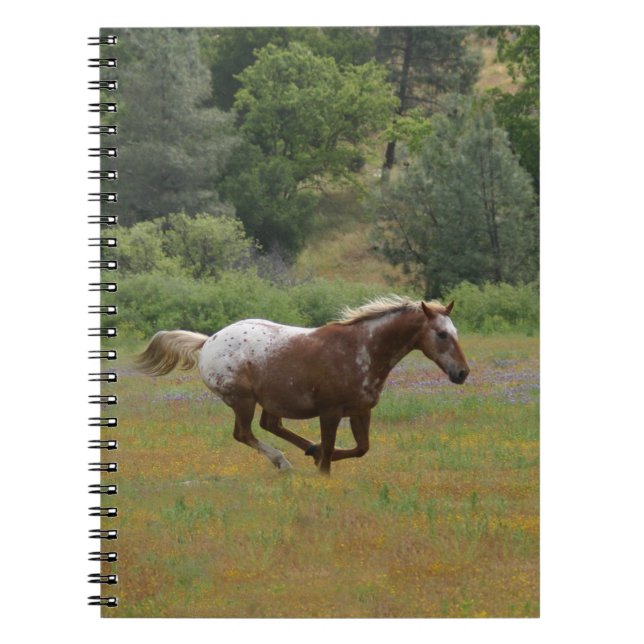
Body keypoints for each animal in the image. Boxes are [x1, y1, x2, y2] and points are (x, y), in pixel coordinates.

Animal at [136, 295, 469, 475]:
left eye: (456, 332)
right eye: (441, 334)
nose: (462, 373)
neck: (361, 349)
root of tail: (207, 342)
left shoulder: (361, 410)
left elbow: (361, 448)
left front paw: (318, 452)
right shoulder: (330, 411)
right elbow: (333, 448)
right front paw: (322, 467)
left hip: (271, 400)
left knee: (270, 425)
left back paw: (306, 449)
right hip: (243, 400)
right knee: (244, 433)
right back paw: (283, 462)